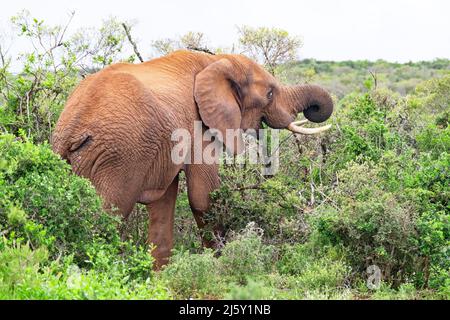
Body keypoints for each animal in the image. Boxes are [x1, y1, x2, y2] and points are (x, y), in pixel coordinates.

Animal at [52, 49, 334, 268]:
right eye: (270, 94)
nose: (314, 110)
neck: (217, 61)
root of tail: (72, 128)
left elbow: (164, 203)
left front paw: (161, 278)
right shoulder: (199, 125)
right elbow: (203, 196)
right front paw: (219, 266)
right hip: (117, 157)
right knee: (107, 215)